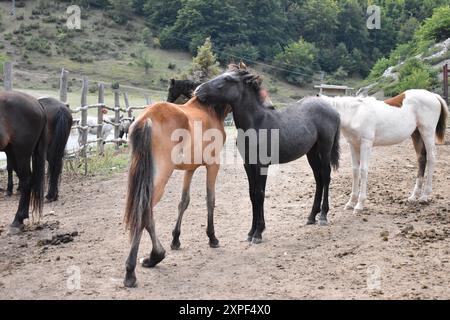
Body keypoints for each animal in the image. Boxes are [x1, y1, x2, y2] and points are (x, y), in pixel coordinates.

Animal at [122, 96, 229, 286]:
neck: (209, 109)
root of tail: (147, 119)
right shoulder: (213, 165)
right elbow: (210, 200)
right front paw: (212, 237)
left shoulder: (190, 169)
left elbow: (184, 202)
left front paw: (176, 239)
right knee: (144, 212)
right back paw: (142, 264)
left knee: (144, 213)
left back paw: (152, 257)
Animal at [194, 63, 342, 244]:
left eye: (228, 78)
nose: (198, 90)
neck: (256, 123)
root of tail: (333, 110)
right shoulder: (248, 164)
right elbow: (252, 194)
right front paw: (251, 232)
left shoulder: (262, 165)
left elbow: (260, 194)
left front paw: (258, 233)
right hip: (312, 153)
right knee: (319, 179)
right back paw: (311, 216)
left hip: (325, 149)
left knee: (326, 176)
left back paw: (323, 216)